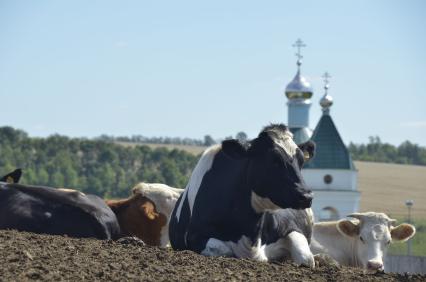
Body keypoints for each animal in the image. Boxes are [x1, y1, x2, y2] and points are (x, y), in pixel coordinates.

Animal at [168, 124, 314, 262]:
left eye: (301, 161)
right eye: (274, 159)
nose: (306, 196)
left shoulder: (290, 226)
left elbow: (307, 258)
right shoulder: (194, 235)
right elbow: (224, 250)